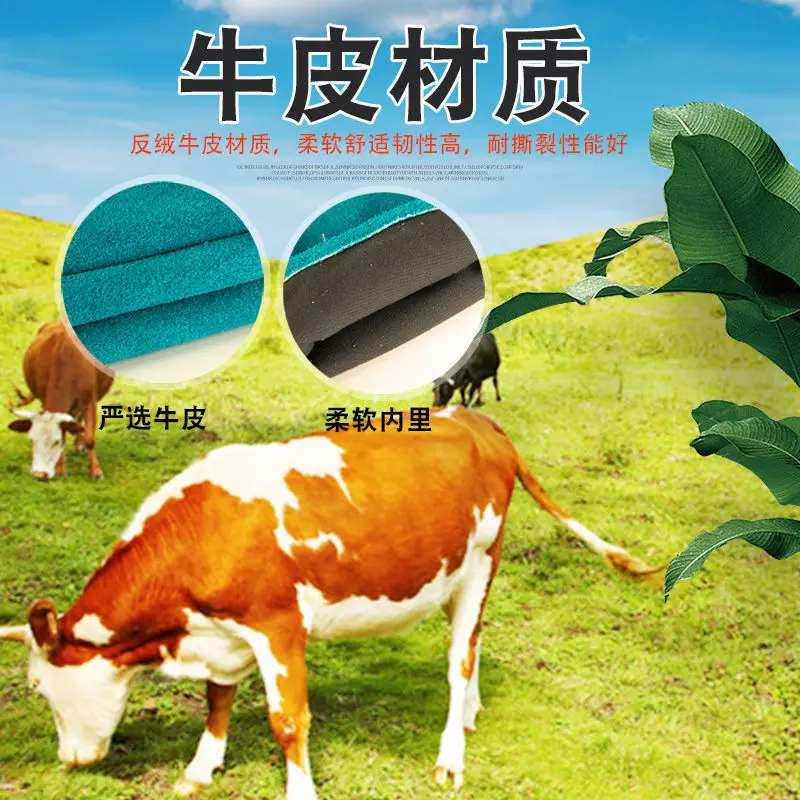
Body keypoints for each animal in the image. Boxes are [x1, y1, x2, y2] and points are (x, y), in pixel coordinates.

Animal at [0, 408, 658, 799]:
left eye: (38, 687)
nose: (70, 760)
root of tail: (474, 418)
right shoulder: (224, 633)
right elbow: (217, 699)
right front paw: (199, 768)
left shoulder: (277, 626)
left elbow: (288, 721)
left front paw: (299, 790)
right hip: (455, 573)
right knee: (472, 638)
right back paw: (471, 712)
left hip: (483, 559)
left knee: (458, 660)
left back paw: (451, 754)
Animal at [8, 321, 113, 480]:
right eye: (32, 440)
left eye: (56, 441)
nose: (39, 474)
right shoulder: (45, 399)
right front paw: (60, 468)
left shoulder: (90, 401)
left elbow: (89, 438)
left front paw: (96, 471)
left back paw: (80, 445)